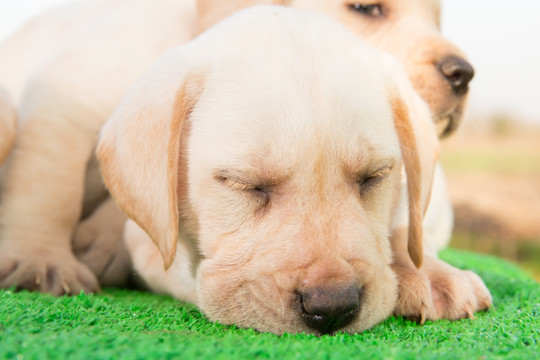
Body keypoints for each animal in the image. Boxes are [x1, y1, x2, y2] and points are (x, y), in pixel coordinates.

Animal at [97, 7, 490, 336]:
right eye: (243, 184)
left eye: (374, 177)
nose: (332, 308)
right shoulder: (144, 243)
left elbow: (404, 231)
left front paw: (426, 271)